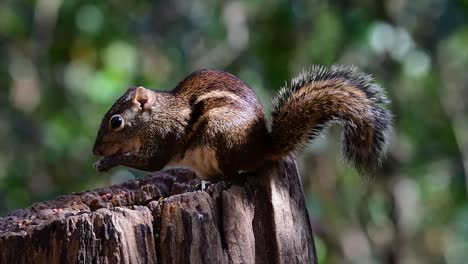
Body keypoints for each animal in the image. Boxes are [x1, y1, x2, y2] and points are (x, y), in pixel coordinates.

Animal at [91, 65, 392, 179]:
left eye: (116, 121)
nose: (96, 150)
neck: (158, 115)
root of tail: (262, 148)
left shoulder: (164, 137)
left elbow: (150, 162)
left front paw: (107, 162)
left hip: (221, 136)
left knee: (235, 175)